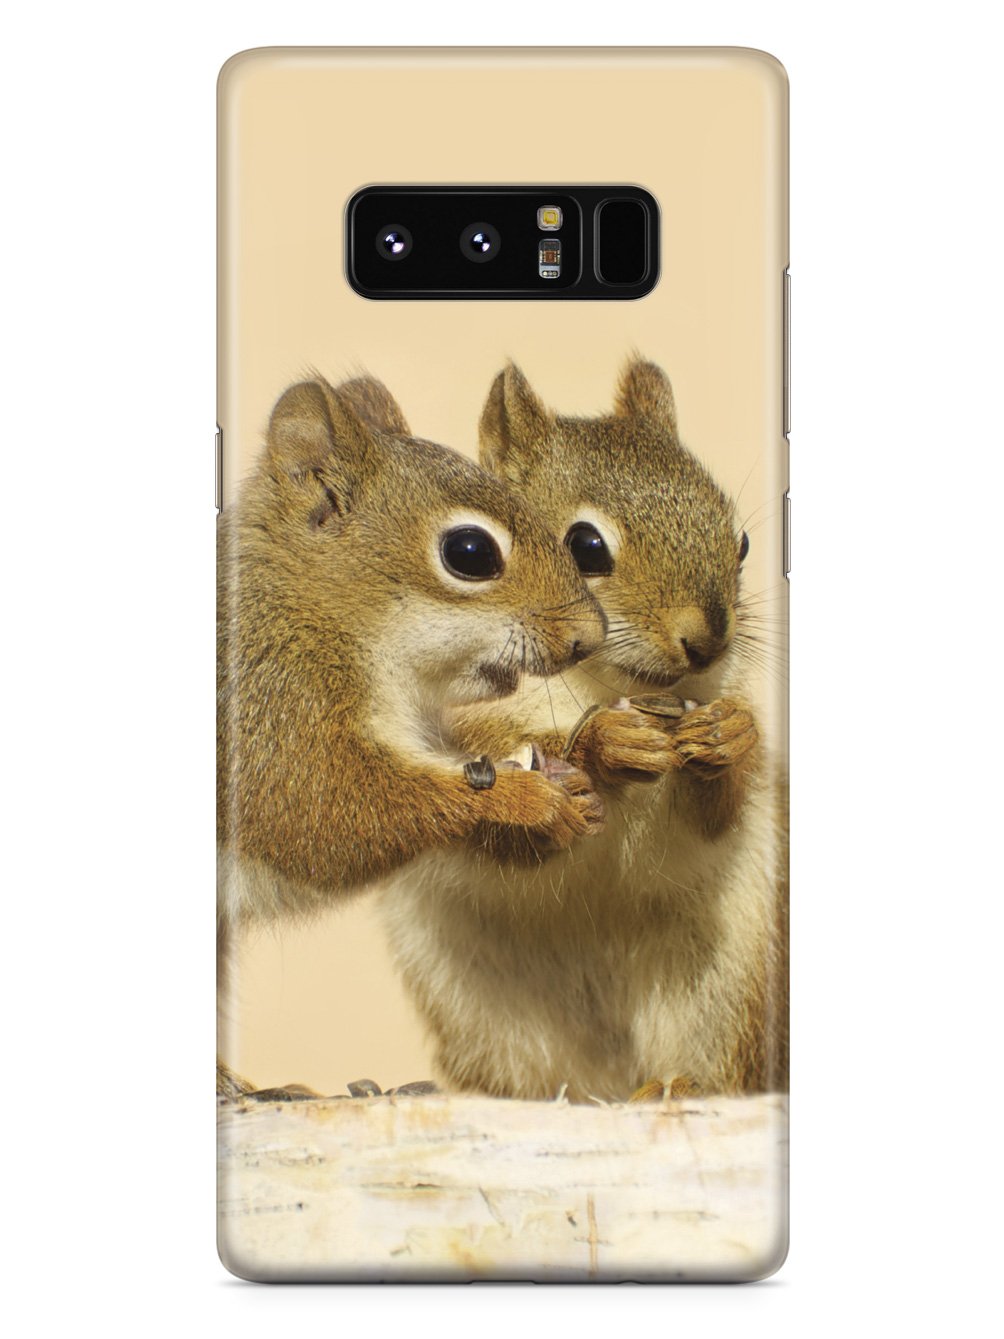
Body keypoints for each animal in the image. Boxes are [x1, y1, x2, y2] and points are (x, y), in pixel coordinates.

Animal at [217, 373, 608, 1093]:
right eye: (470, 553)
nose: (588, 638)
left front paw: (571, 792)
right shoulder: (270, 709)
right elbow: (324, 816)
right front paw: (524, 799)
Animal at [378, 357, 787, 1101]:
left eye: (740, 542)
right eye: (585, 546)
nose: (708, 642)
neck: (602, 688)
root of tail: (609, 1082)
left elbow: (712, 819)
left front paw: (728, 738)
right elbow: (500, 820)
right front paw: (605, 745)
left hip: (728, 983)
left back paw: (680, 1087)